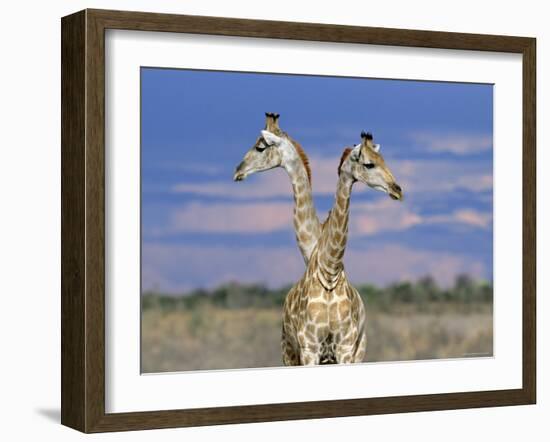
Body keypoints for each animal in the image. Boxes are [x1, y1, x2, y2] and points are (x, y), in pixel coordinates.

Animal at [282, 131, 404, 366]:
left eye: (384, 160)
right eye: (369, 164)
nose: (397, 190)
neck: (330, 275)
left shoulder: (346, 347)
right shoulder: (309, 347)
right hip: (289, 352)